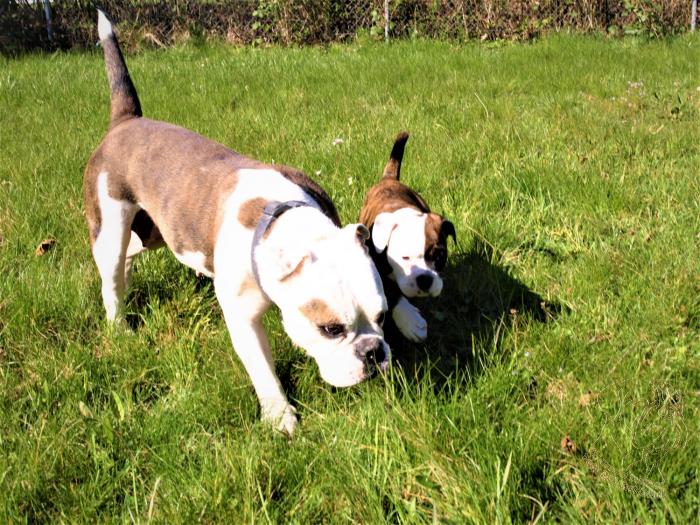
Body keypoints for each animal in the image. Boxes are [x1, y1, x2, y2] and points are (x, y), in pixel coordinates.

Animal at [84, 10, 390, 435]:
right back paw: (119, 326)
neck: (282, 217)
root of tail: (125, 123)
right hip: (109, 223)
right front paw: (279, 416)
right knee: (111, 272)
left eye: (382, 316)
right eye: (330, 329)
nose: (375, 352)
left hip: (157, 230)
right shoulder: (243, 319)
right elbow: (262, 369)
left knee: (131, 252)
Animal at [359, 132, 455, 342]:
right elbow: (391, 292)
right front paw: (410, 321)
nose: (424, 279)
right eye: (404, 258)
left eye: (439, 256)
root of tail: (389, 179)